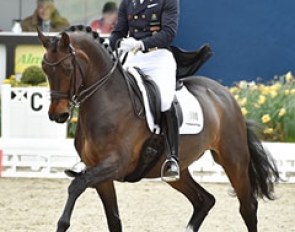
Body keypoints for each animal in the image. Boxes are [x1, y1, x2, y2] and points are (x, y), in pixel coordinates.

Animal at [37, 25, 280, 232]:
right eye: (44, 68)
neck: (108, 101)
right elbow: (113, 220)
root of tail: (226, 95)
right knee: (204, 200)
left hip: (233, 159)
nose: (58, 115)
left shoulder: (115, 165)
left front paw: (62, 223)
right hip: (179, 170)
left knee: (247, 207)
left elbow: (76, 185)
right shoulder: (100, 174)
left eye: (67, 68)